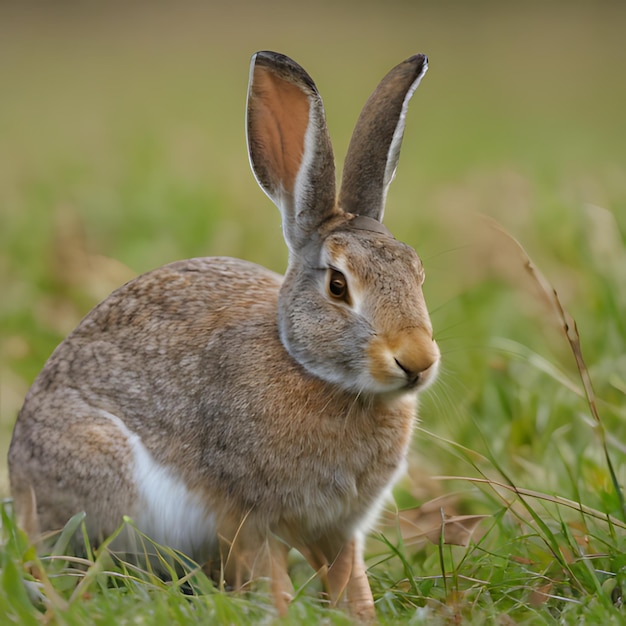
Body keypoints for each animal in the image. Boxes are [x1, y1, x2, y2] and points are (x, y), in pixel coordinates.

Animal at [9, 50, 438, 620]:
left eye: (417, 272)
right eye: (338, 285)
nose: (418, 360)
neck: (311, 370)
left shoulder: (340, 527)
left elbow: (350, 577)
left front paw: (361, 616)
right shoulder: (246, 514)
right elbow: (269, 574)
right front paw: (283, 614)